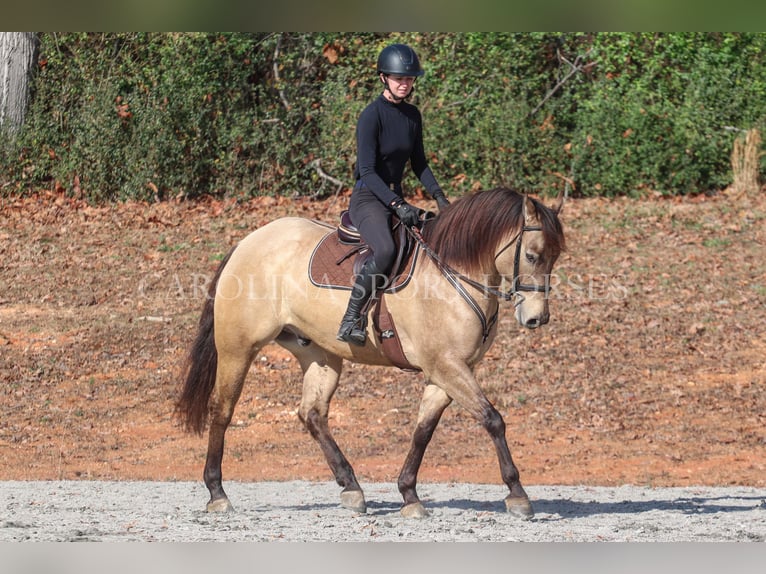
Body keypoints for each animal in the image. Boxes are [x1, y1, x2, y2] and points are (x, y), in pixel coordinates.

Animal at [177, 188, 568, 520]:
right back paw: (217, 493)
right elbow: (492, 419)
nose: (537, 318)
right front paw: (517, 494)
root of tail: (249, 241)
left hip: (320, 354)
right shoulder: (447, 366)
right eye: (531, 255)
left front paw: (409, 494)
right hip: (238, 348)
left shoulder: (448, 370)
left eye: (555, 257)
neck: (451, 275)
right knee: (222, 410)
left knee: (312, 414)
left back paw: (351, 488)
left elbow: (423, 430)